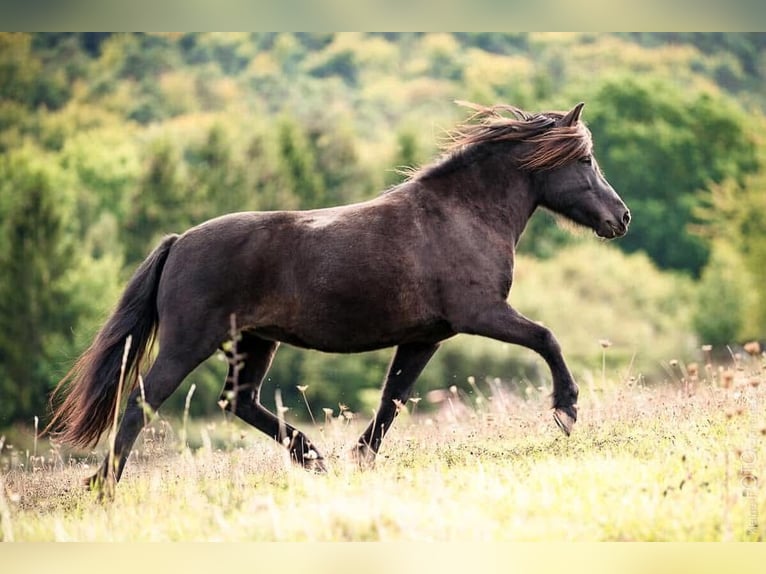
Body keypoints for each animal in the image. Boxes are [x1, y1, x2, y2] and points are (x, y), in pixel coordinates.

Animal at [46, 101, 630, 489]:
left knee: (238, 401)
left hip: (255, 342)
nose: (620, 217)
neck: (460, 215)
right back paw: (102, 487)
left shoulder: (425, 337)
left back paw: (311, 456)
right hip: (189, 343)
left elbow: (393, 398)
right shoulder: (481, 312)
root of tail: (178, 243)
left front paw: (360, 458)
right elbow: (547, 338)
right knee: (141, 403)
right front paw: (567, 410)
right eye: (584, 162)